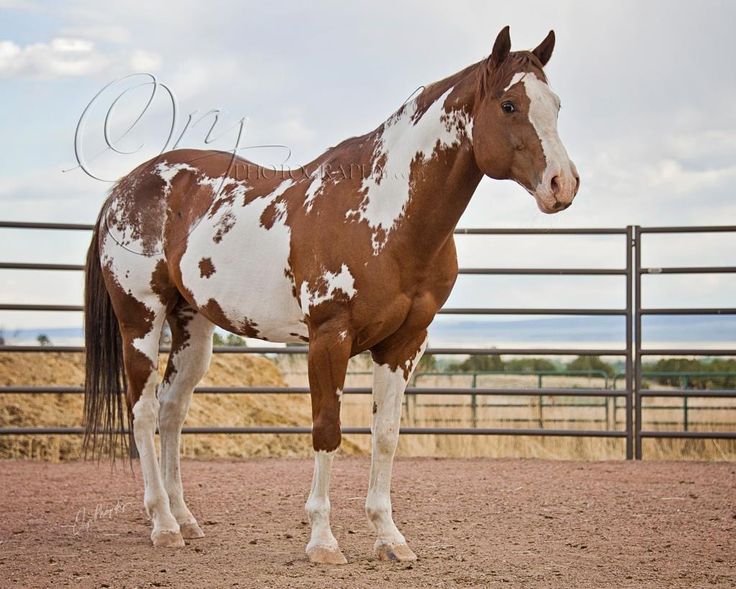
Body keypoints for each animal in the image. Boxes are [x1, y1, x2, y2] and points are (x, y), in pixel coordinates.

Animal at [83, 26, 576, 560]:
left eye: (557, 104)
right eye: (509, 105)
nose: (563, 184)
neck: (383, 214)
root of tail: (124, 188)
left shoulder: (404, 345)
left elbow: (386, 436)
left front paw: (389, 536)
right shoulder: (328, 338)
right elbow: (326, 430)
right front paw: (322, 541)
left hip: (192, 325)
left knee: (173, 410)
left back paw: (185, 519)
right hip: (140, 320)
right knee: (144, 411)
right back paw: (162, 524)